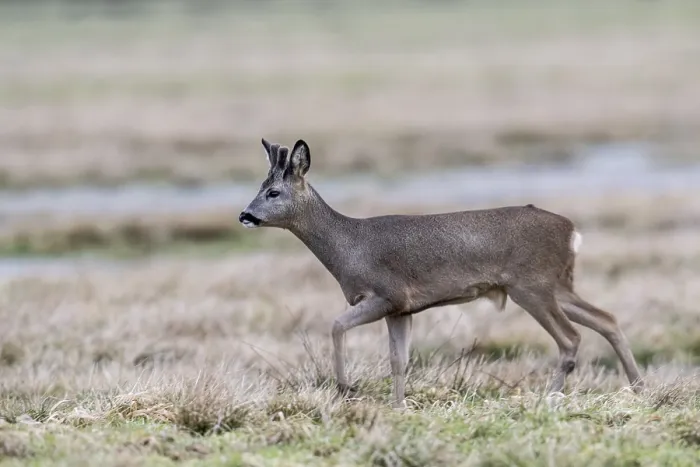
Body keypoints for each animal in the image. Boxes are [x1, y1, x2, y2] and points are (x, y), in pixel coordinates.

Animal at [239, 138, 644, 409]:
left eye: (273, 192)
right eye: (259, 188)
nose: (244, 215)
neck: (347, 248)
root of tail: (572, 231)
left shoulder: (386, 294)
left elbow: (337, 325)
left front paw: (345, 388)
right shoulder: (401, 309)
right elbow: (398, 360)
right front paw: (398, 406)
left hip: (532, 285)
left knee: (571, 338)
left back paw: (551, 395)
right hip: (556, 285)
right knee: (606, 318)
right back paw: (638, 387)